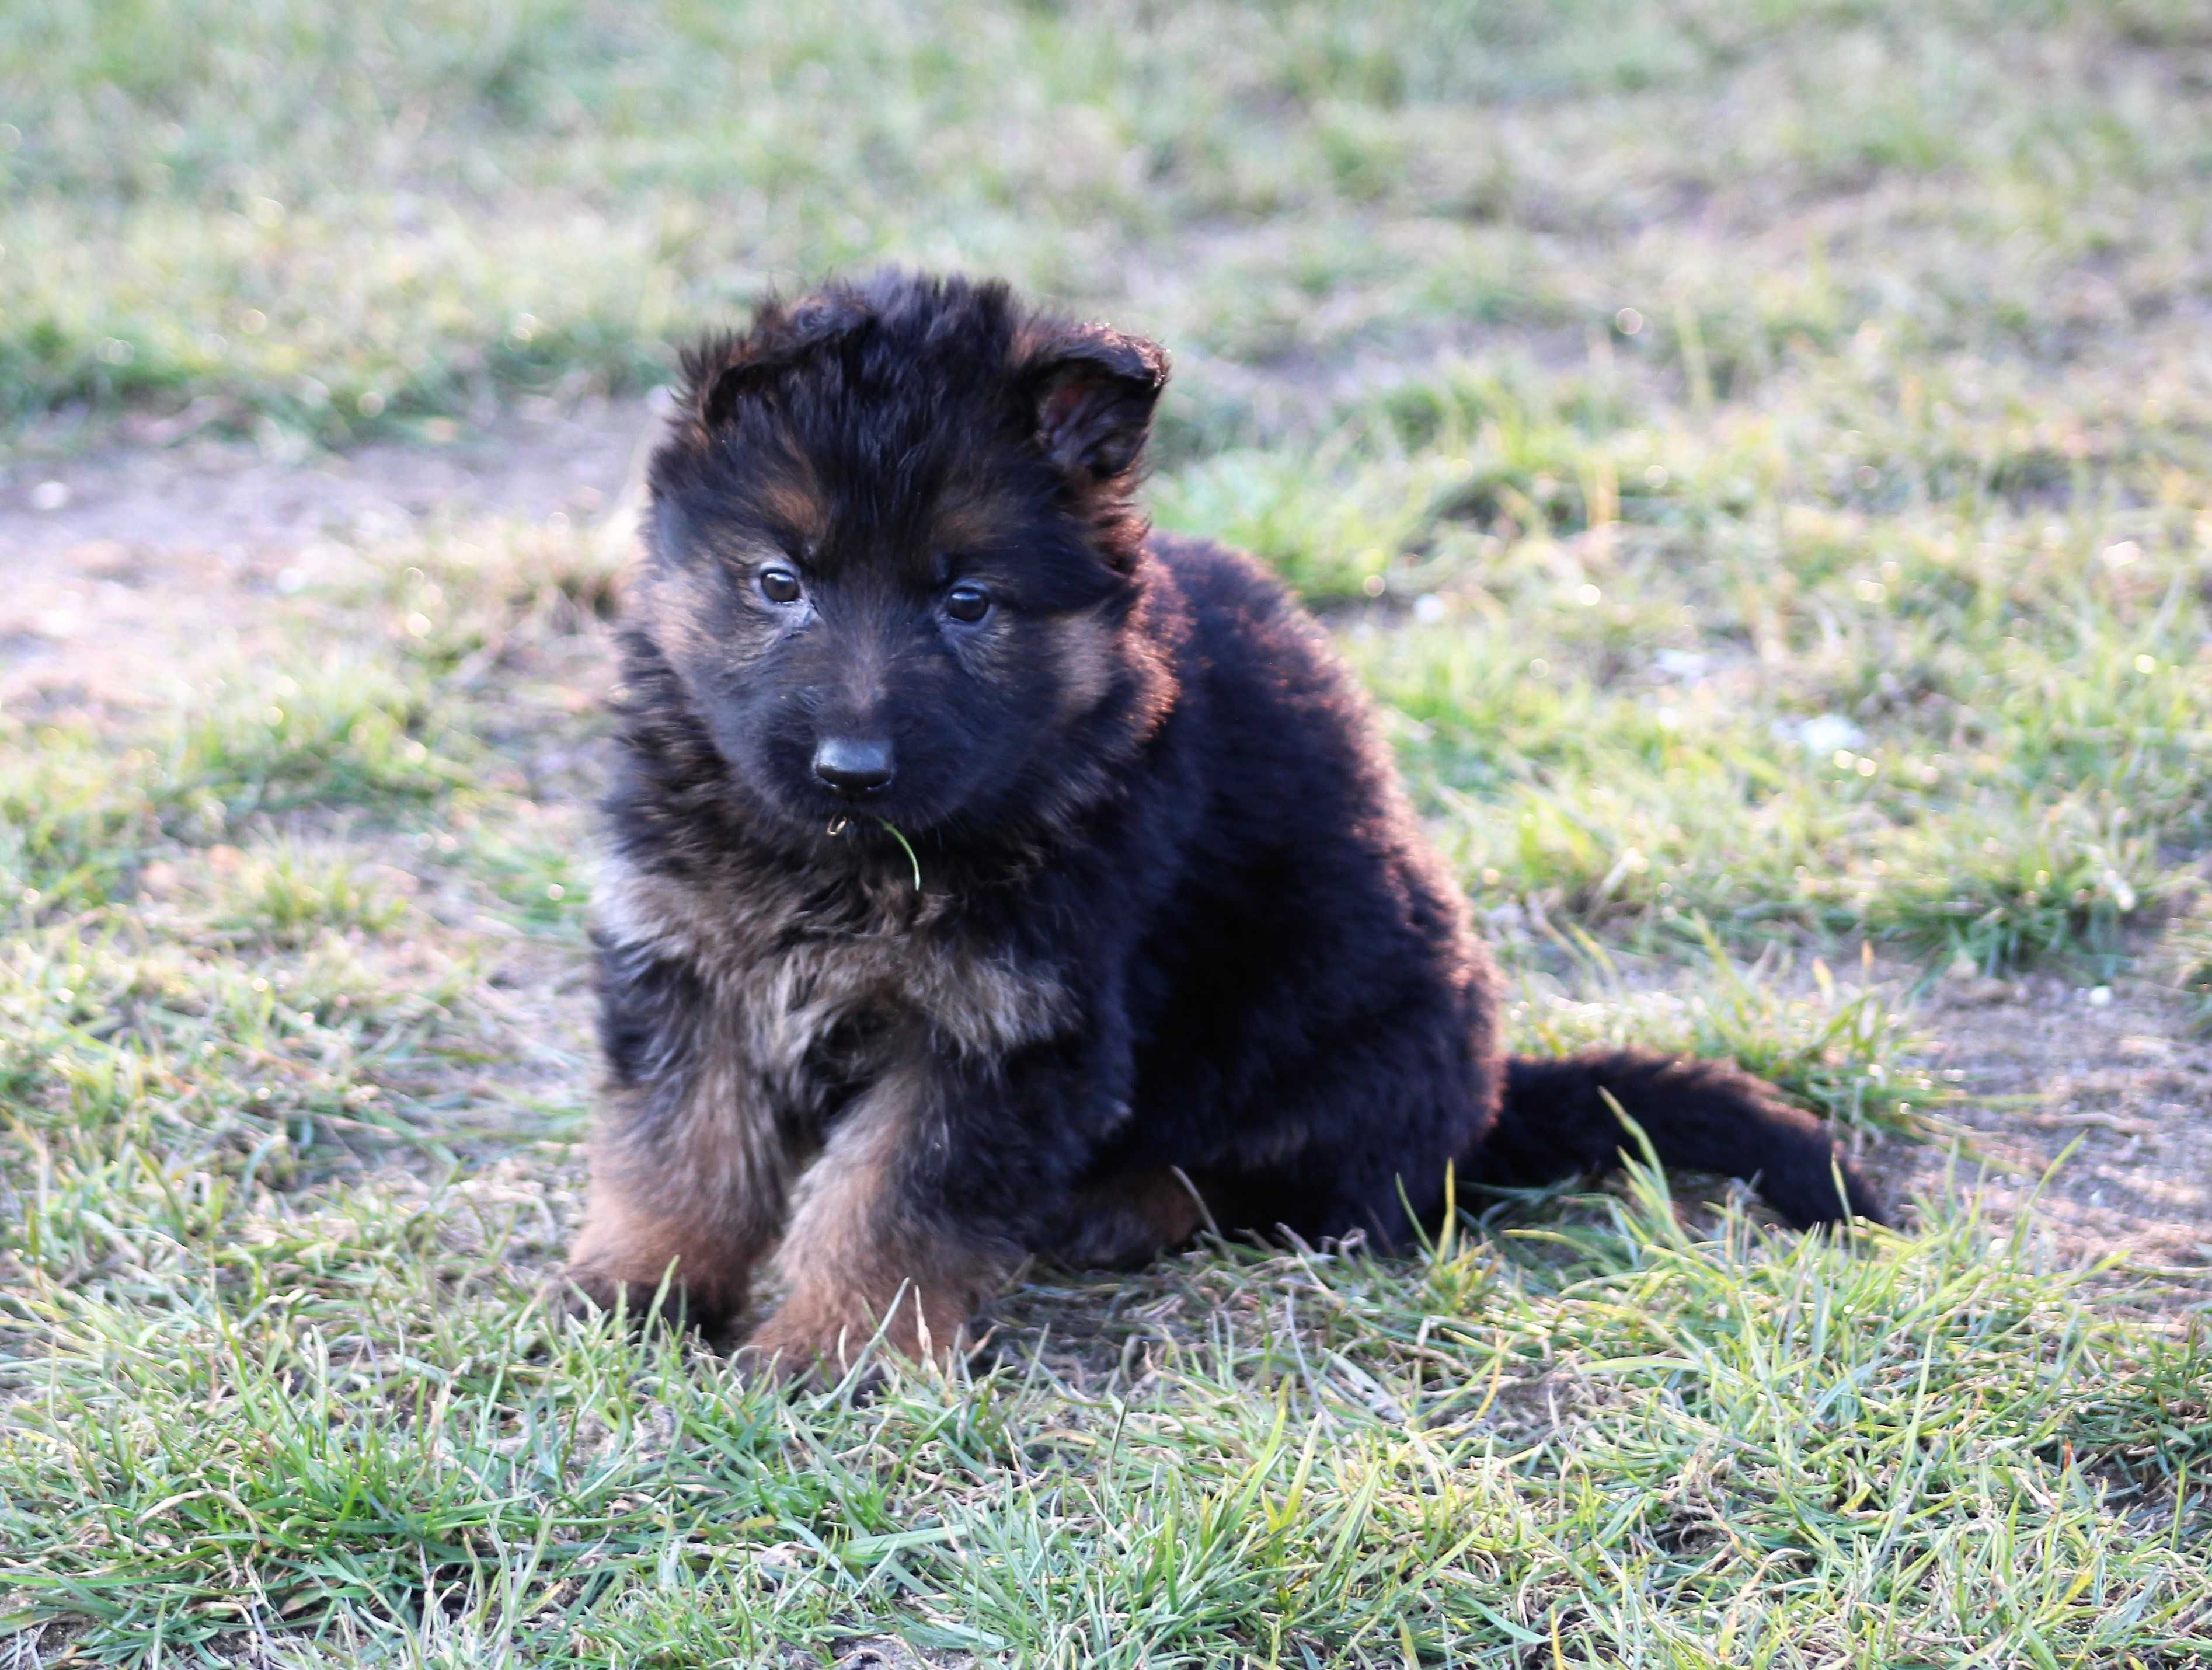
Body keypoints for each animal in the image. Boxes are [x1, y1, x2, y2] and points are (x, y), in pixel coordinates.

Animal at [566, 271, 1884, 1371]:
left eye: (967, 600)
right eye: (778, 582)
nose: (851, 768)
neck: (847, 860)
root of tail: (1490, 1100)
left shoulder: (1011, 1026)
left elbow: (889, 1199)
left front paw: (829, 1348)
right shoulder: (688, 960)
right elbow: (679, 1148)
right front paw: (642, 1292)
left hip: (1339, 1032)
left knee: (1303, 1191)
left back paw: (1122, 1204)